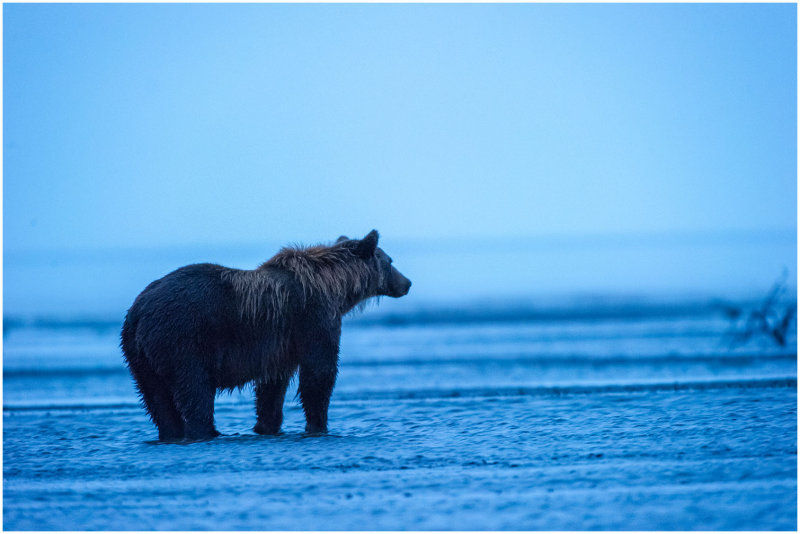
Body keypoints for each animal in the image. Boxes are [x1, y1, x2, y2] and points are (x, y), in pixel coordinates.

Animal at [121, 232, 410, 442]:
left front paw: (266, 425)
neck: (336, 286)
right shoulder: (313, 317)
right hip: (183, 339)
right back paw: (207, 431)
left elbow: (273, 385)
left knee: (156, 398)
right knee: (194, 388)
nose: (406, 283)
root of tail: (139, 310)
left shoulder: (279, 344)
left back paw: (171, 432)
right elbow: (319, 372)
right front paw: (318, 425)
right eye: (391, 261)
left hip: (138, 355)